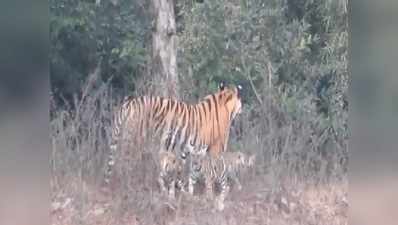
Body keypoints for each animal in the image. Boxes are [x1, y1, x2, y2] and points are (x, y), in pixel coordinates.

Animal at [105, 82, 243, 183]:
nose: (242, 108)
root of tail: (130, 103)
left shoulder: (191, 149)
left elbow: (192, 170)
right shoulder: (216, 149)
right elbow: (215, 170)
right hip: (135, 139)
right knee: (126, 160)